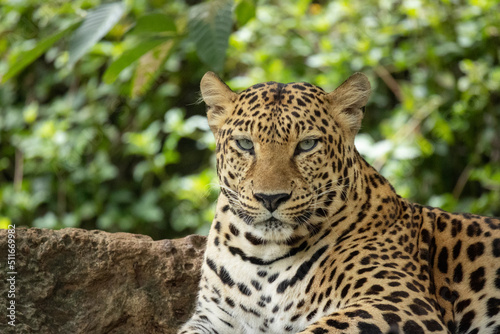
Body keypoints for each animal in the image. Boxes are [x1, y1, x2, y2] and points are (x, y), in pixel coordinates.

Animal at [180, 71, 500, 334]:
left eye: (307, 145)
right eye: (245, 144)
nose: (271, 198)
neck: (263, 256)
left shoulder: (399, 303)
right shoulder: (214, 317)